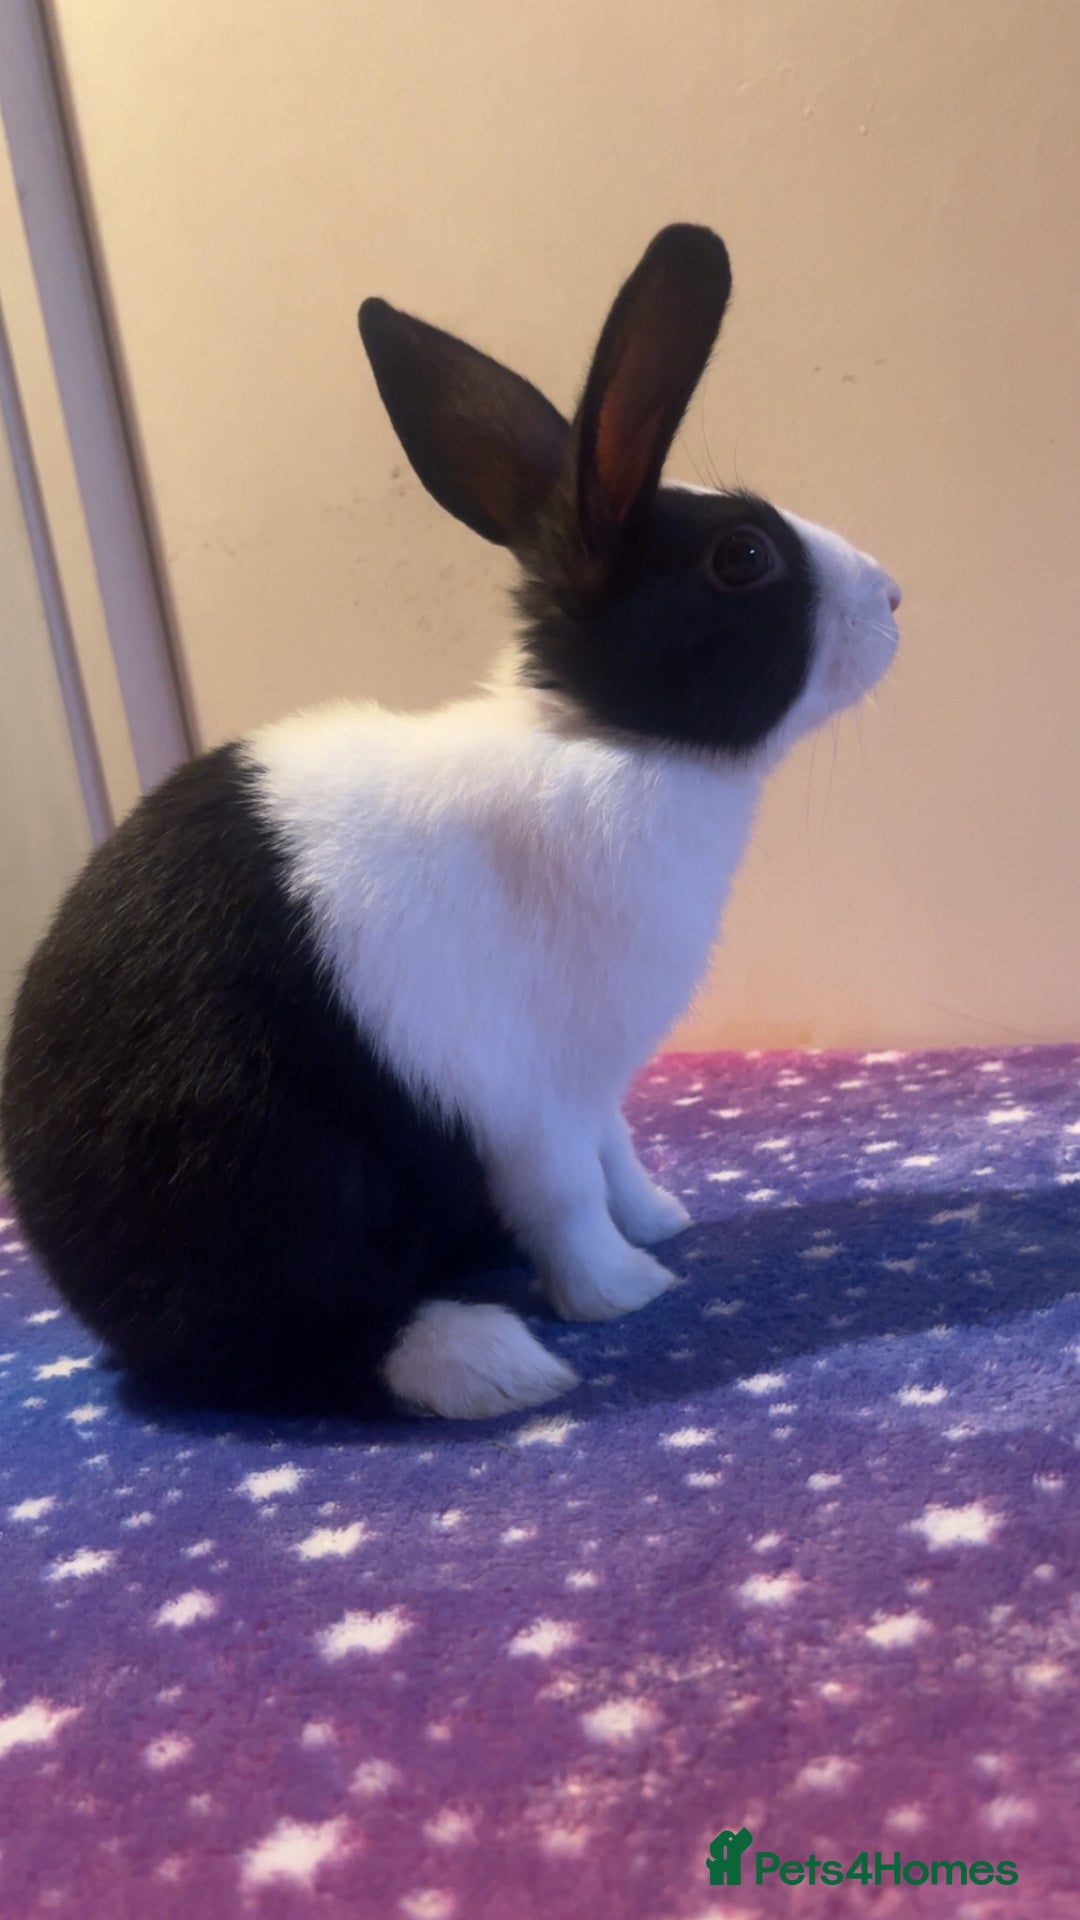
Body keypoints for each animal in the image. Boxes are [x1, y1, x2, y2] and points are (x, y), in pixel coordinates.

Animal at [0, 224, 901, 1420]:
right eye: (743, 558)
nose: (895, 599)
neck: (603, 739)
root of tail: (75, 1276)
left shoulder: (596, 1080)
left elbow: (615, 1156)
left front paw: (662, 1221)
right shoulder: (525, 1087)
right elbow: (566, 1194)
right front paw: (625, 1289)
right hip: (257, 1166)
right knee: (279, 1339)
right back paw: (490, 1362)